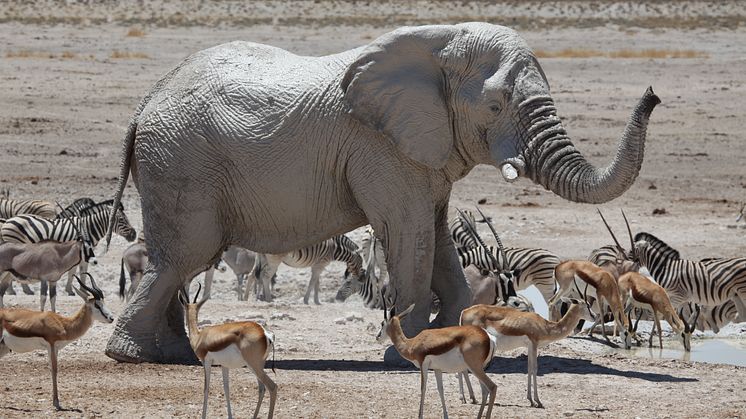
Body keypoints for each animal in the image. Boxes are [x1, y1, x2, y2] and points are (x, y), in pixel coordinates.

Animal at [0, 276, 112, 410]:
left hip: (3, 347)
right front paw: (57, 403)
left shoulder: (56, 348)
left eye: (104, 302)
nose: (111, 318)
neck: (64, 324)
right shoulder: (51, 345)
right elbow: (54, 370)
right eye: (97, 304)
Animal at [103, 22, 656, 364]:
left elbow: (437, 239)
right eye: (496, 106)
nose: (652, 94)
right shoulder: (381, 149)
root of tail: (144, 104)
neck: (438, 43)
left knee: (179, 263)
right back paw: (136, 356)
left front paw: (452, 335)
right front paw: (406, 353)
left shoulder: (422, 152)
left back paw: (170, 354)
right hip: (181, 163)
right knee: (182, 257)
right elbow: (409, 236)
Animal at [179, 284, 278, 418]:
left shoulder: (206, 362)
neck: (200, 337)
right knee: (262, 388)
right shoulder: (224, 365)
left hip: (254, 365)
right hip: (256, 366)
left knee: (272, 387)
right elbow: (226, 388)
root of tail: (264, 333)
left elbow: (206, 388)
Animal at [460, 298, 592, 410]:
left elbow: (529, 369)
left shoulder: (529, 347)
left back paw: (469, 398)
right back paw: (471, 398)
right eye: (587, 305)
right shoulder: (534, 344)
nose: (594, 316)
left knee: (463, 369)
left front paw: (531, 400)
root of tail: (464, 312)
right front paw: (538, 401)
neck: (545, 326)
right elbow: (534, 369)